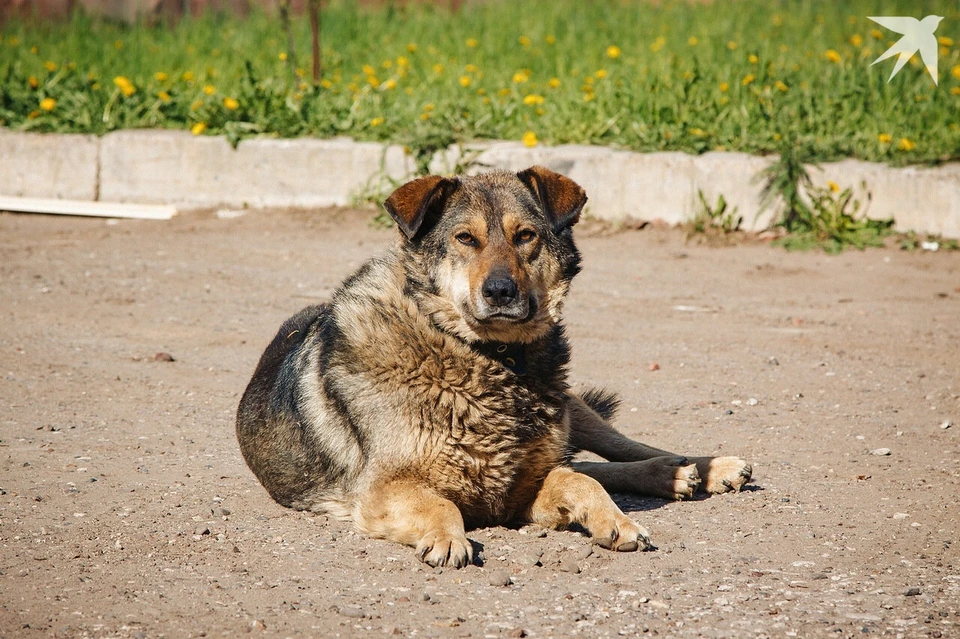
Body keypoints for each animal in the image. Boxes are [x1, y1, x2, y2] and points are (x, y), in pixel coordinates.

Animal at [236, 166, 752, 568]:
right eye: (466, 239)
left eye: (525, 236)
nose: (501, 291)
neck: (484, 355)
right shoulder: (384, 489)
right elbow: (442, 503)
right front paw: (448, 538)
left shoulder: (522, 488)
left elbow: (581, 479)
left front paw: (616, 520)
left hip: (572, 409)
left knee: (614, 449)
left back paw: (693, 468)